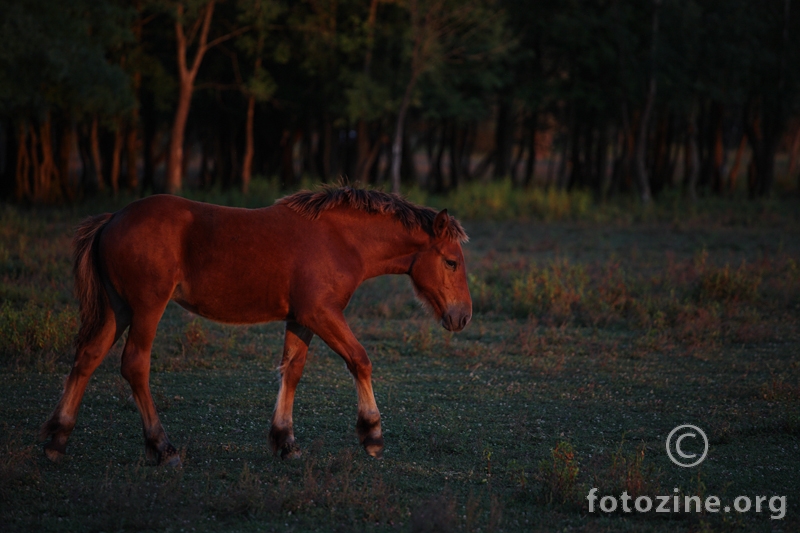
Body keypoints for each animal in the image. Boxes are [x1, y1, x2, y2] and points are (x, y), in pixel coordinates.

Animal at [40, 185, 472, 464]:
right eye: (451, 262)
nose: (463, 316)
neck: (341, 239)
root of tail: (111, 219)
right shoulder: (322, 313)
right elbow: (360, 360)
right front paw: (372, 433)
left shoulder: (301, 318)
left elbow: (292, 371)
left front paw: (285, 441)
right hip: (147, 307)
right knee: (134, 365)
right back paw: (162, 447)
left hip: (119, 309)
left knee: (87, 358)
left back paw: (57, 438)